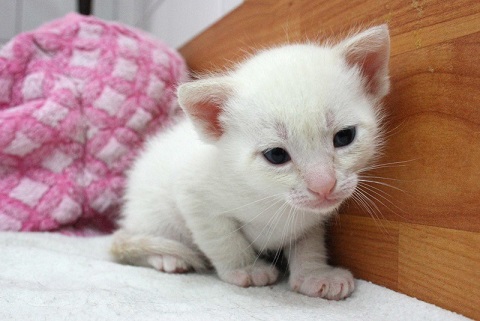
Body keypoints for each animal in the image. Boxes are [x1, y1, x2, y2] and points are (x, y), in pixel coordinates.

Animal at [111, 25, 390, 300]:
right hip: (154, 213)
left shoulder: (310, 218)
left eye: (344, 137)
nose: (324, 185)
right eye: (276, 155)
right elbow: (222, 239)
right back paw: (165, 258)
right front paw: (245, 269)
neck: (272, 199)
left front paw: (315, 274)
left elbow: (308, 241)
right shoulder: (194, 195)